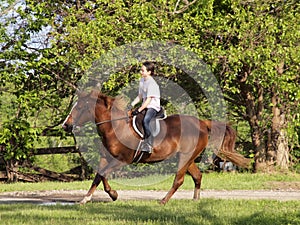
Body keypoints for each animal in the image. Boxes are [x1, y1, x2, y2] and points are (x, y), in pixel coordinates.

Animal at [62, 89, 250, 204]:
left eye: (80, 107)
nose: (66, 125)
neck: (115, 127)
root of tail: (203, 123)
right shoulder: (106, 157)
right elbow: (98, 176)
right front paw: (86, 199)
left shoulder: (122, 160)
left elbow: (102, 174)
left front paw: (113, 195)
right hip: (188, 159)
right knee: (197, 176)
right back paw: (195, 199)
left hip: (185, 157)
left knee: (179, 180)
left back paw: (163, 201)